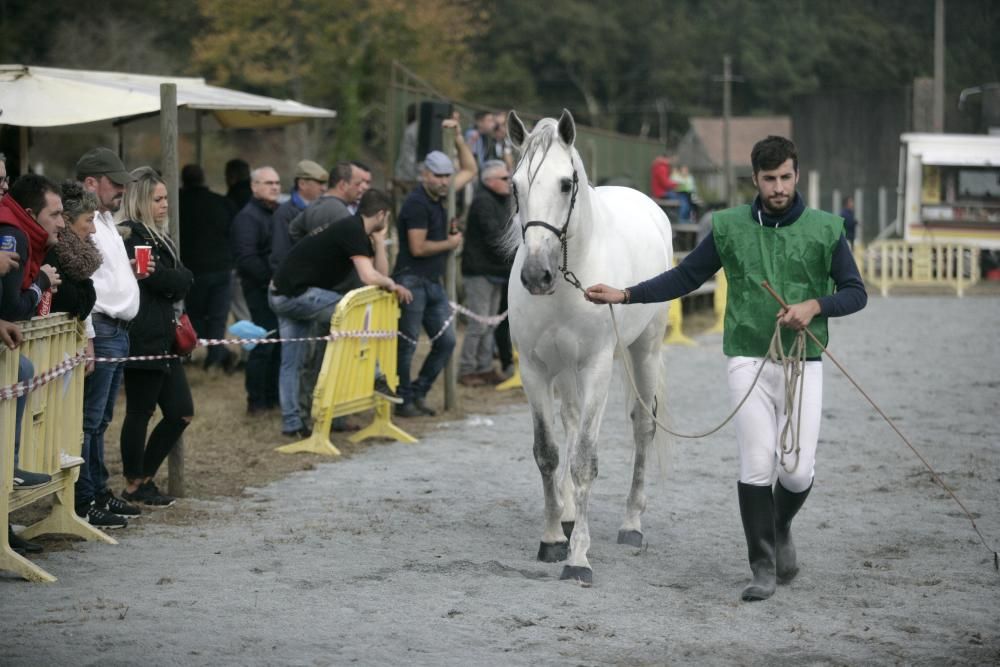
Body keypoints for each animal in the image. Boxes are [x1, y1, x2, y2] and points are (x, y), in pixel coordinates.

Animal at [508, 109, 672, 584]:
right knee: (570, 419)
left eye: (566, 183)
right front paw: (551, 539)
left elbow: (584, 460)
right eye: (514, 186)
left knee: (643, 427)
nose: (536, 276)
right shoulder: (535, 369)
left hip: (644, 351)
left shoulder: (597, 367)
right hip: (565, 371)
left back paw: (631, 524)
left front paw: (578, 558)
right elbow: (548, 452)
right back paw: (566, 517)